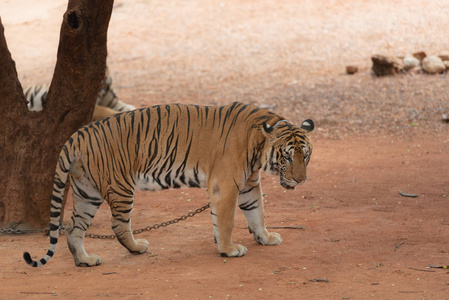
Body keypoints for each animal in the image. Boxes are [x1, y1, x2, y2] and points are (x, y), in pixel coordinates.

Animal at [22, 101, 314, 268]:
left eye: (306, 155)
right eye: (287, 156)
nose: (301, 180)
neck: (258, 147)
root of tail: (77, 135)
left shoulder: (249, 185)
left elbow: (257, 213)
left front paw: (265, 238)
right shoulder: (225, 185)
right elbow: (227, 221)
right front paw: (229, 250)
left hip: (87, 192)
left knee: (74, 227)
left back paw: (85, 260)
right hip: (120, 186)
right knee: (118, 225)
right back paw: (137, 248)